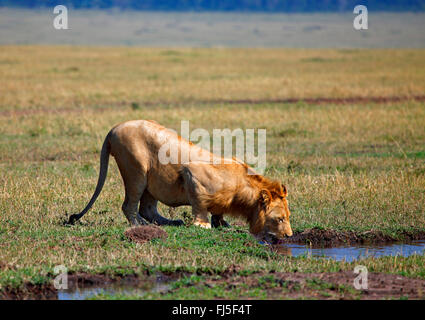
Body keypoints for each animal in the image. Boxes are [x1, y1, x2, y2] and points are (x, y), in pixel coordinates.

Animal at [68, 119, 292, 240]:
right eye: (280, 219)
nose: (289, 236)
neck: (242, 187)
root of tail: (113, 129)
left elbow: (218, 211)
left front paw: (223, 223)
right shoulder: (192, 174)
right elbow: (200, 205)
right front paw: (202, 225)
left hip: (152, 179)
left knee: (148, 208)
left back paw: (169, 222)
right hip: (136, 171)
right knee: (129, 206)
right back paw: (140, 224)